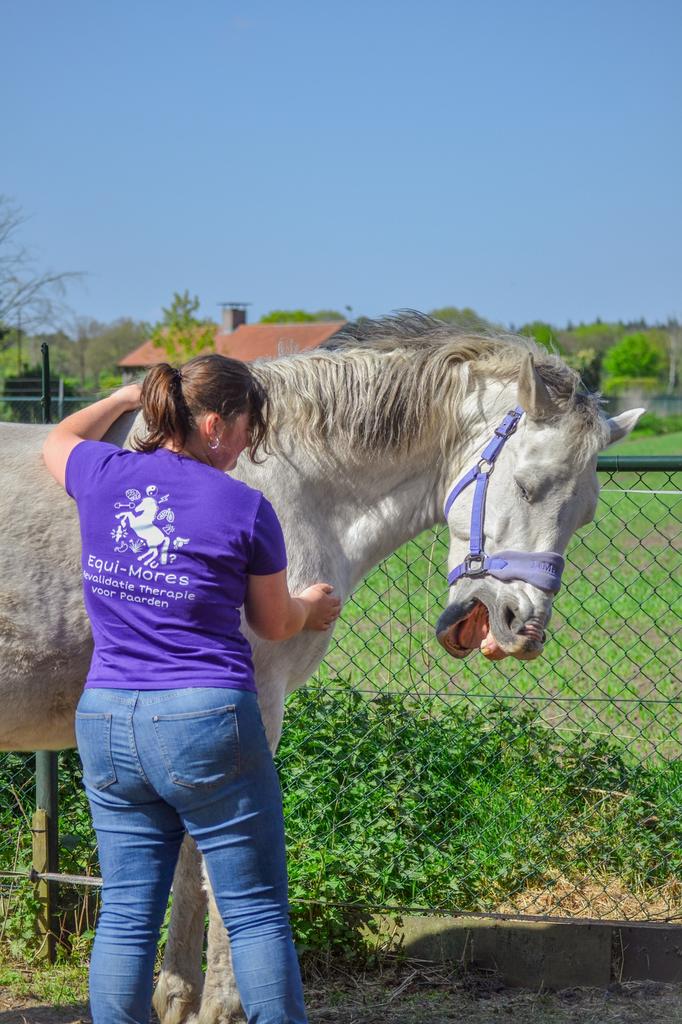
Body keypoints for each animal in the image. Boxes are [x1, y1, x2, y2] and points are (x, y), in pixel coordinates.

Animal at [0, 314, 641, 1023]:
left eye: (586, 512)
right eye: (527, 485)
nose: (519, 628)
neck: (287, 480)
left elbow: (189, 864)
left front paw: (178, 996)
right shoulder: (250, 708)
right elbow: (220, 866)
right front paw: (221, 1005)